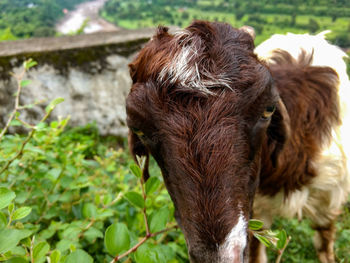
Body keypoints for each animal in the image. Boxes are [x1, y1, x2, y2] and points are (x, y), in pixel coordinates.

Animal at [124, 21, 348, 263]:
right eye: (138, 129)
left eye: (268, 109)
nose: (220, 257)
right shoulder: (257, 209)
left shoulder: (329, 199)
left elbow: (324, 242)